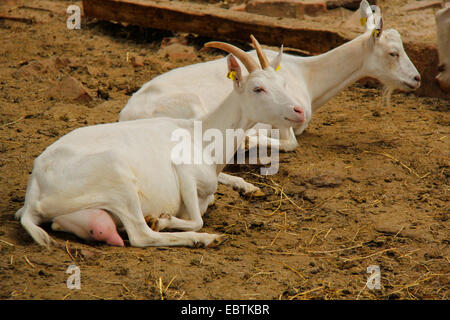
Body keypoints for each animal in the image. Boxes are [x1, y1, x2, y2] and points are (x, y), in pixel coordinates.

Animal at [17, 37, 306, 248]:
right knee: (141, 235)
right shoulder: (184, 171)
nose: (299, 110)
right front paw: (164, 219)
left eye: (282, 82)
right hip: (118, 178)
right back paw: (205, 239)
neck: (201, 137)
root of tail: (35, 190)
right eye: (258, 88)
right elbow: (196, 218)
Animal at [119, 0, 422, 195]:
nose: (417, 79)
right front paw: (250, 143)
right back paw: (245, 182)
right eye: (393, 52)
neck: (307, 76)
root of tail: (126, 115)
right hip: (190, 107)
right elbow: (290, 144)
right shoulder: (283, 122)